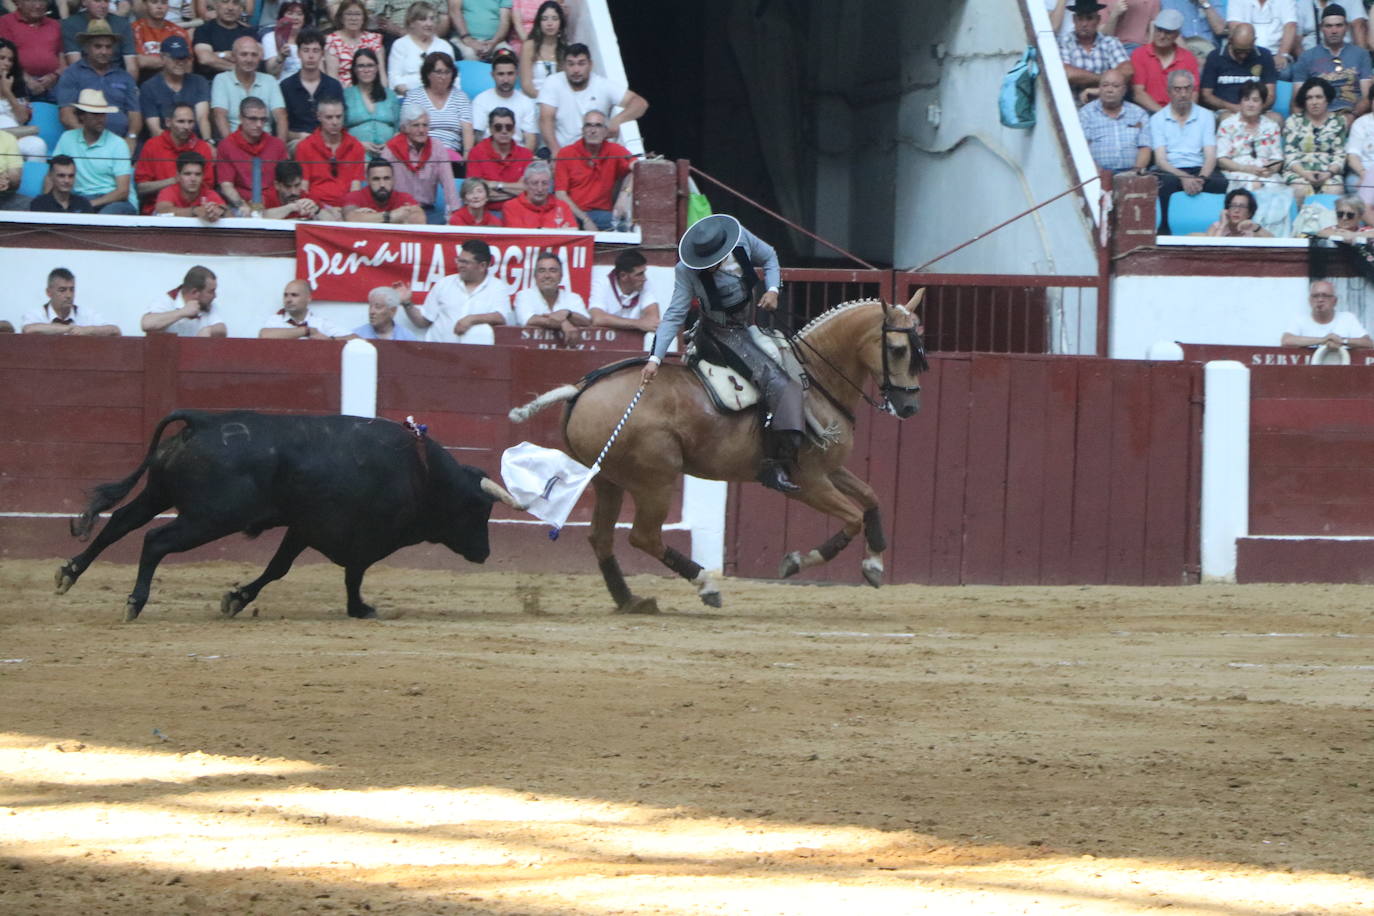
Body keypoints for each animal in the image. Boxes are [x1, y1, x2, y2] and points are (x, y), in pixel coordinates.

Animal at [56, 414, 522, 623]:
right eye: (479, 509)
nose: (484, 553)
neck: (422, 474)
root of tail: (202, 422)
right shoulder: (363, 538)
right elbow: (353, 573)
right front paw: (360, 608)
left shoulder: (303, 528)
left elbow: (277, 568)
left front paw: (237, 598)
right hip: (210, 517)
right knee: (154, 540)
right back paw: (134, 602)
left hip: (159, 494)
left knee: (119, 522)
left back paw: (69, 573)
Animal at [511, 289, 928, 612]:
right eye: (898, 349)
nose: (910, 407)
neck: (815, 377)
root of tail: (581, 389)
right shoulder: (808, 481)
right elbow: (853, 517)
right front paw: (794, 562)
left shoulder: (831, 470)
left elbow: (871, 498)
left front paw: (874, 564)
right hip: (655, 481)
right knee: (643, 537)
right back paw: (706, 585)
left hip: (608, 481)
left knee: (601, 537)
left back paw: (630, 600)